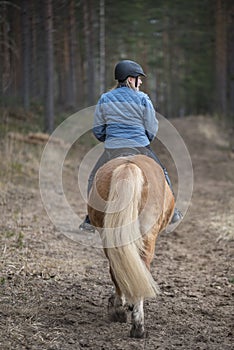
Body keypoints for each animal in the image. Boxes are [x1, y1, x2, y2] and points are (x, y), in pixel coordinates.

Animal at [88, 154, 176, 338]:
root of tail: (129, 166)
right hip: (146, 239)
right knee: (139, 270)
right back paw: (136, 324)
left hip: (110, 237)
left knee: (117, 269)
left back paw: (122, 313)